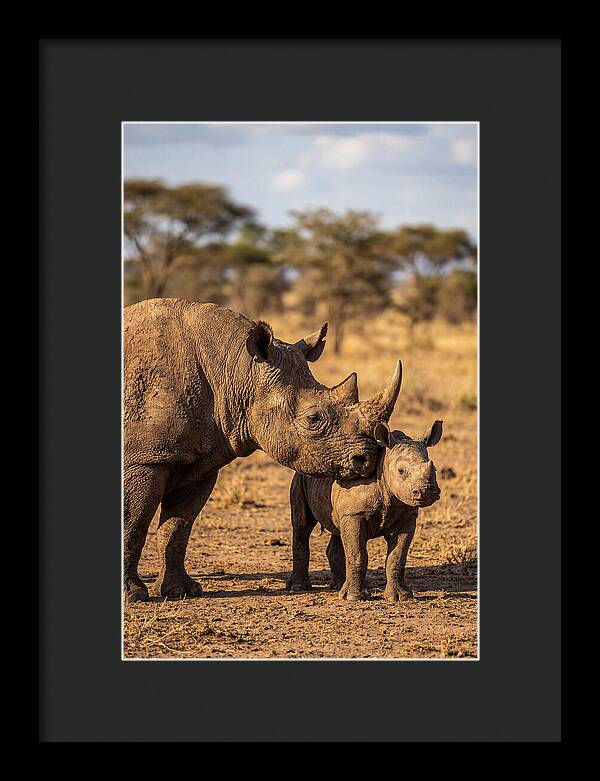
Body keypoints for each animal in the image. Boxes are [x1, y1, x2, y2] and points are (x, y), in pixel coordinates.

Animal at [123, 298, 402, 603]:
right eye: (313, 419)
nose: (367, 459)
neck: (236, 370)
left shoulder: (201, 459)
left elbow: (178, 526)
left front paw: (180, 591)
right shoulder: (145, 459)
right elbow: (133, 521)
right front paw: (134, 595)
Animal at [286, 410, 443, 602]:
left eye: (434, 469)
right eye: (401, 471)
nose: (427, 492)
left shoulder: (406, 515)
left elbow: (397, 557)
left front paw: (401, 597)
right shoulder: (355, 514)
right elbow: (358, 554)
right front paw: (354, 597)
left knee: (338, 530)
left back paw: (338, 586)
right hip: (300, 477)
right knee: (302, 525)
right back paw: (299, 587)